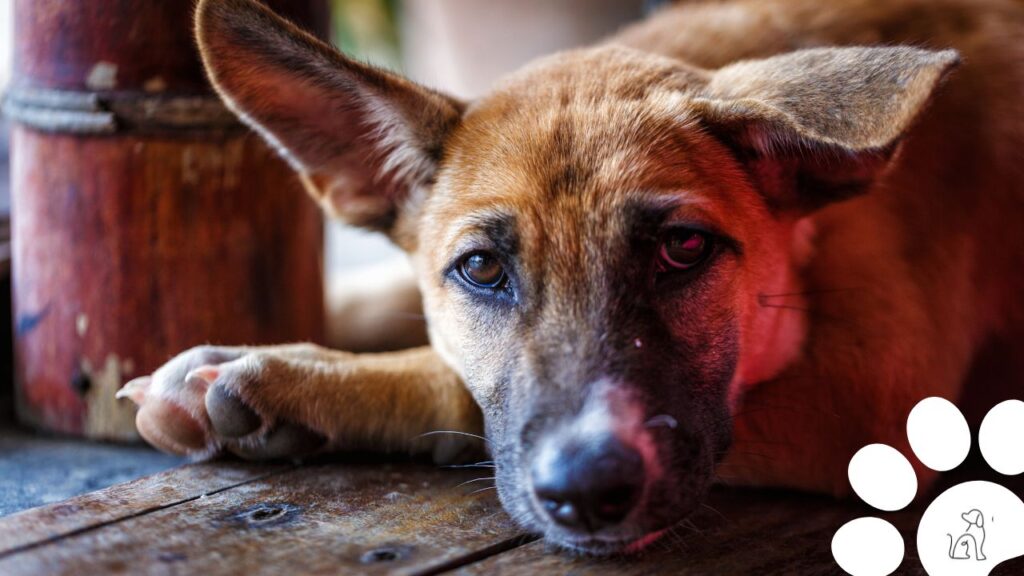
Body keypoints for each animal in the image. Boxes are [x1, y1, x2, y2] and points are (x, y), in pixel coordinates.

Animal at [119, 0, 1024, 553]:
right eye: (481, 268)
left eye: (684, 248)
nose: (589, 496)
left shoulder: (873, 392)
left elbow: (450, 385)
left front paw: (284, 378)